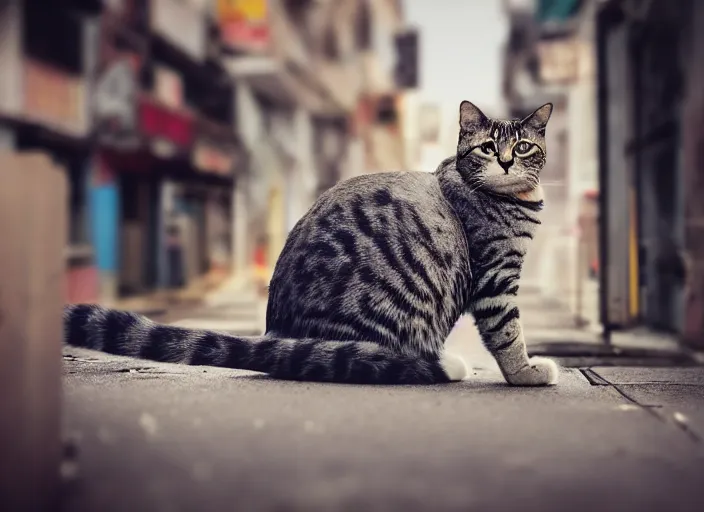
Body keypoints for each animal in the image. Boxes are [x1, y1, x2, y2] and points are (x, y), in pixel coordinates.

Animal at [66, 101, 560, 384]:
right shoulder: (495, 277)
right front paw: (525, 373)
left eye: (523, 147)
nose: (504, 161)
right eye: (486, 148)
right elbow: (508, 332)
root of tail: (273, 338)